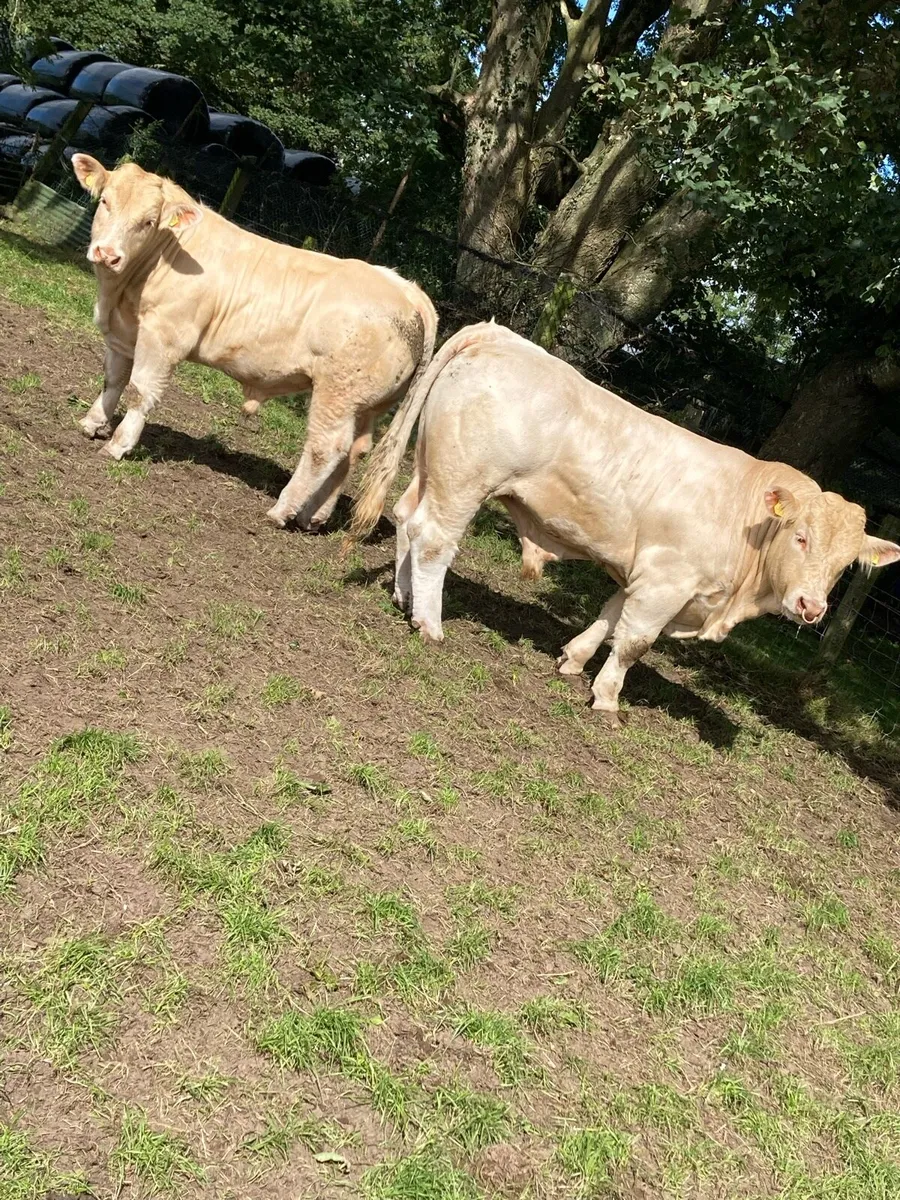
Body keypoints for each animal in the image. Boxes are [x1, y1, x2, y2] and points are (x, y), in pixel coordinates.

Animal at [70, 154, 437, 531]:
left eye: (148, 221)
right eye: (104, 201)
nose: (107, 253)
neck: (120, 292)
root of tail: (406, 289)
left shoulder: (165, 335)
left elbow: (140, 390)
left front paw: (118, 444)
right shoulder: (124, 332)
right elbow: (113, 379)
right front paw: (92, 423)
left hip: (338, 392)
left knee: (327, 447)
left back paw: (283, 509)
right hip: (367, 404)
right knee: (354, 451)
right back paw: (312, 515)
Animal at [348, 322, 900, 723]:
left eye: (845, 567)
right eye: (801, 536)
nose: (812, 607)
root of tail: (498, 334)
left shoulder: (643, 577)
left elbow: (610, 618)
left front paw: (572, 662)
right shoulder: (665, 580)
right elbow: (635, 642)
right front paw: (608, 699)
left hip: (432, 469)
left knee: (407, 520)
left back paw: (403, 597)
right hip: (465, 480)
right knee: (435, 539)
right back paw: (430, 623)